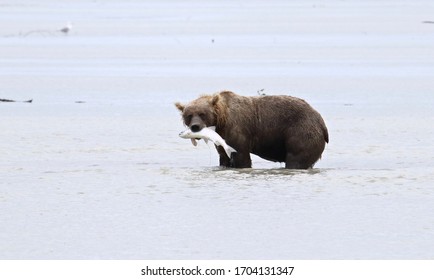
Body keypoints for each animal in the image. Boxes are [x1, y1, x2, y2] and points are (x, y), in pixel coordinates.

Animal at [175, 91, 328, 168]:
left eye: (202, 114)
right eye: (189, 115)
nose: (195, 127)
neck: (222, 120)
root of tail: (321, 120)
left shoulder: (237, 129)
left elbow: (241, 156)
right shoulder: (221, 138)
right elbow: (223, 157)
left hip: (300, 131)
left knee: (296, 159)